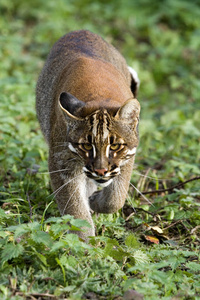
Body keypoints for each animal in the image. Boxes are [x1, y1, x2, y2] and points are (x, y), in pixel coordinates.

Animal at [36, 28, 140, 239]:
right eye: (85, 145)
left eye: (115, 145)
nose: (100, 171)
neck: (99, 96)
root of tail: (81, 30)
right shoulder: (61, 161)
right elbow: (74, 206)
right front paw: (84, 242)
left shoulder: (127, 157)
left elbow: (116, 197)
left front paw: (96, 202)